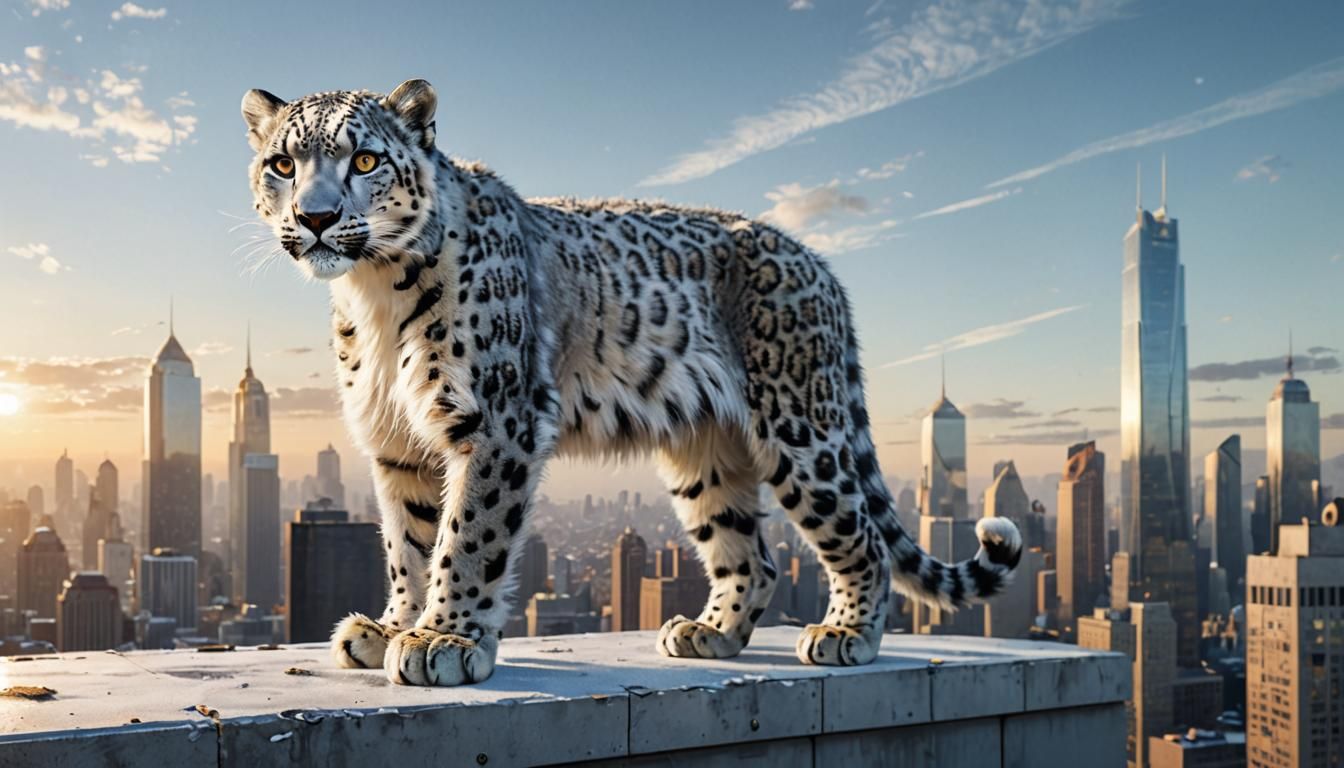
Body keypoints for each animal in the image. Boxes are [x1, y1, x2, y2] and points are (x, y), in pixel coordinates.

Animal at [241, 79, 1021, 687]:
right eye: (282, 163)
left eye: (365, 159)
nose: (315, 218)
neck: (373, 291)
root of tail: (817, 263)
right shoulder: (397, 441)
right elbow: (408, 540)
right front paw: (390, 627)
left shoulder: (496, 422)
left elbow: (468, 535)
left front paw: (445, 640)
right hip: (706, 453)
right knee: (753, 554)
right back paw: (710, 633)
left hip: (802, 429)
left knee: (858, 535)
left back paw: (846, 635)